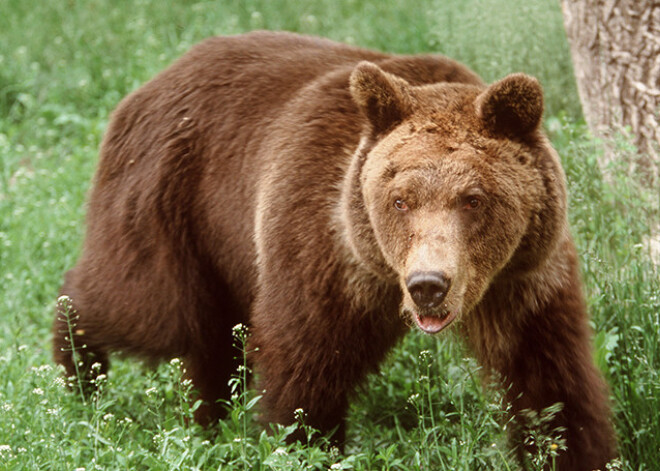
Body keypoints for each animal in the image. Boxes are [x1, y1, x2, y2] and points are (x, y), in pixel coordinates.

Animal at [54, 31, 616, 470]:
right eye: (399, 199)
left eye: (473, 198)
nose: (428, 285)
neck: (381, 271)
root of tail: (148, 84)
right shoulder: (323, 248)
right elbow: (305, 369)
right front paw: (304, 445)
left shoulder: (523, 278)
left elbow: (550, 383)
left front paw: (572, 449)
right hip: (171, 198)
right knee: (148, 307)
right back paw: (78, 370)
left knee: (209, 337)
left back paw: (208, 418)